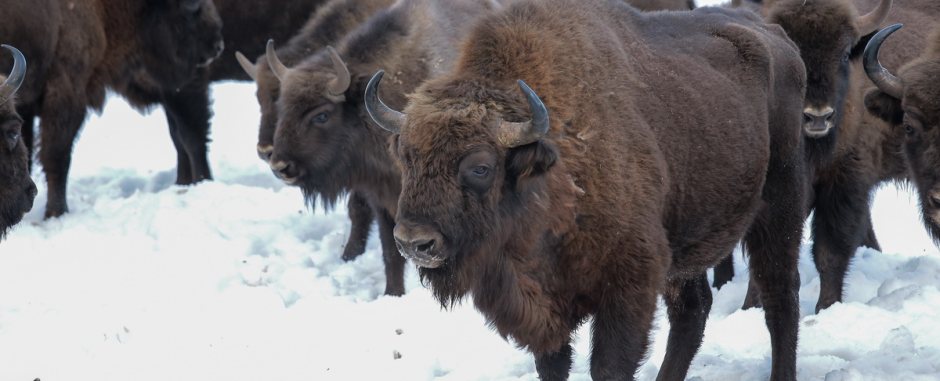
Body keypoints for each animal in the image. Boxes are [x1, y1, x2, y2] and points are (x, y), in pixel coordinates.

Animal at [264, 0, 500, 296]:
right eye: (283, 106)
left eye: (322, 115)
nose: (280, 167)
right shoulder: (383, 199)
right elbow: (391, 252)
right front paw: (393, 293)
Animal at [364, 0, 804, 378]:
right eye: (406, 156)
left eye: (480, 167)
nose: (414, 242)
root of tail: (777, 37)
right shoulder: (544, 309)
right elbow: (553, 364)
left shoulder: (629, 286)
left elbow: (608, 366)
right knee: (693, 310)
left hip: (779, 209)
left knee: (780, 297)